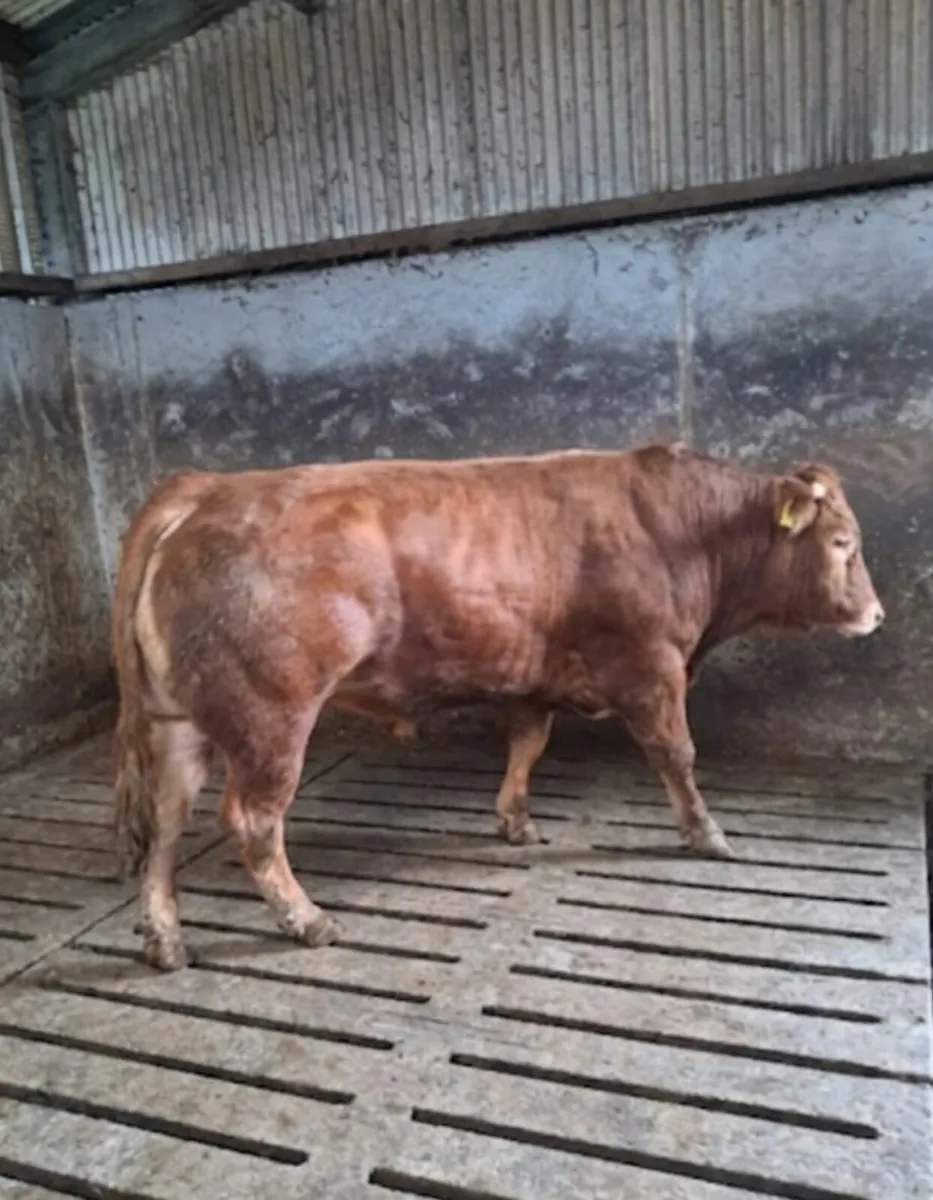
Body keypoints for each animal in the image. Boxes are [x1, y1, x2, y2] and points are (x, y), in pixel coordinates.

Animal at [111, 442, 884, 970]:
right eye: (843, 542)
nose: (875, 615)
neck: (678, 532)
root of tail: (202, 488)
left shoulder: (532, 676)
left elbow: (527, 743)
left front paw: (514, 819)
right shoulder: (652, 666)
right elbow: (676, 755)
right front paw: (705, 833)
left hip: (178, 720)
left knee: (167, 816)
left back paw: (164, 936)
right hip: (271, 717)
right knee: (253, 822)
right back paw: (306, 920)